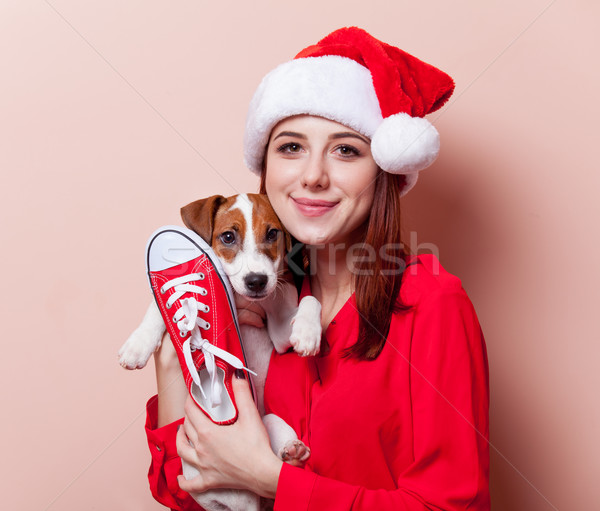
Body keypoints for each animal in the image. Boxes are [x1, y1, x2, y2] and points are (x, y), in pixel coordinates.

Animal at [119, 193, 322, 511]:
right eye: (228, 237)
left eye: (272, 234)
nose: (257, 281)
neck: (244, 299)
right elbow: (157, 308)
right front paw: (137, 344)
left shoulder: (280, 332)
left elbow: (310, 299)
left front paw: (308, 331)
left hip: (269, 424)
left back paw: (292, 451)